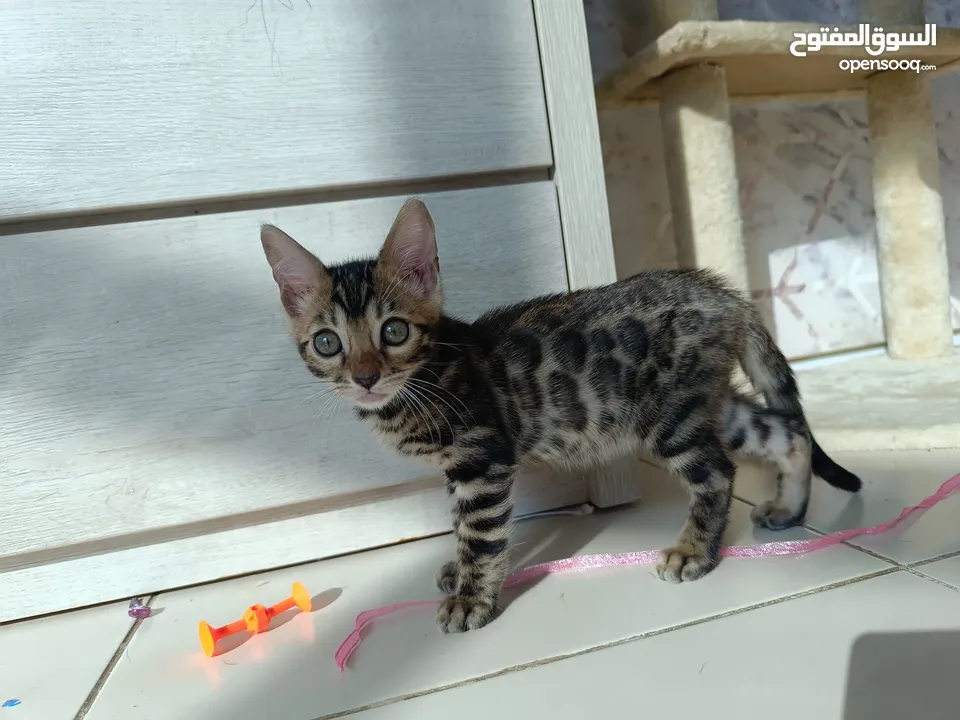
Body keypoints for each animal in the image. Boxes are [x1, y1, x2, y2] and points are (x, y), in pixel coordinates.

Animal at [258, 200, 860, 632]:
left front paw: (472, 598)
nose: (364, 377)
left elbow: (482, 534)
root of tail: (723, 292)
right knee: (787, 431)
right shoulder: (459, 471)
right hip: (706, 401)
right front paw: (457, 569)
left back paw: (694, 550)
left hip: (667, 417)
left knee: (717, 471)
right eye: (328, 342)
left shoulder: (483, 460)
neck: (420, 384)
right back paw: (789, 508)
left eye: (394, 331)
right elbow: (459, 525)